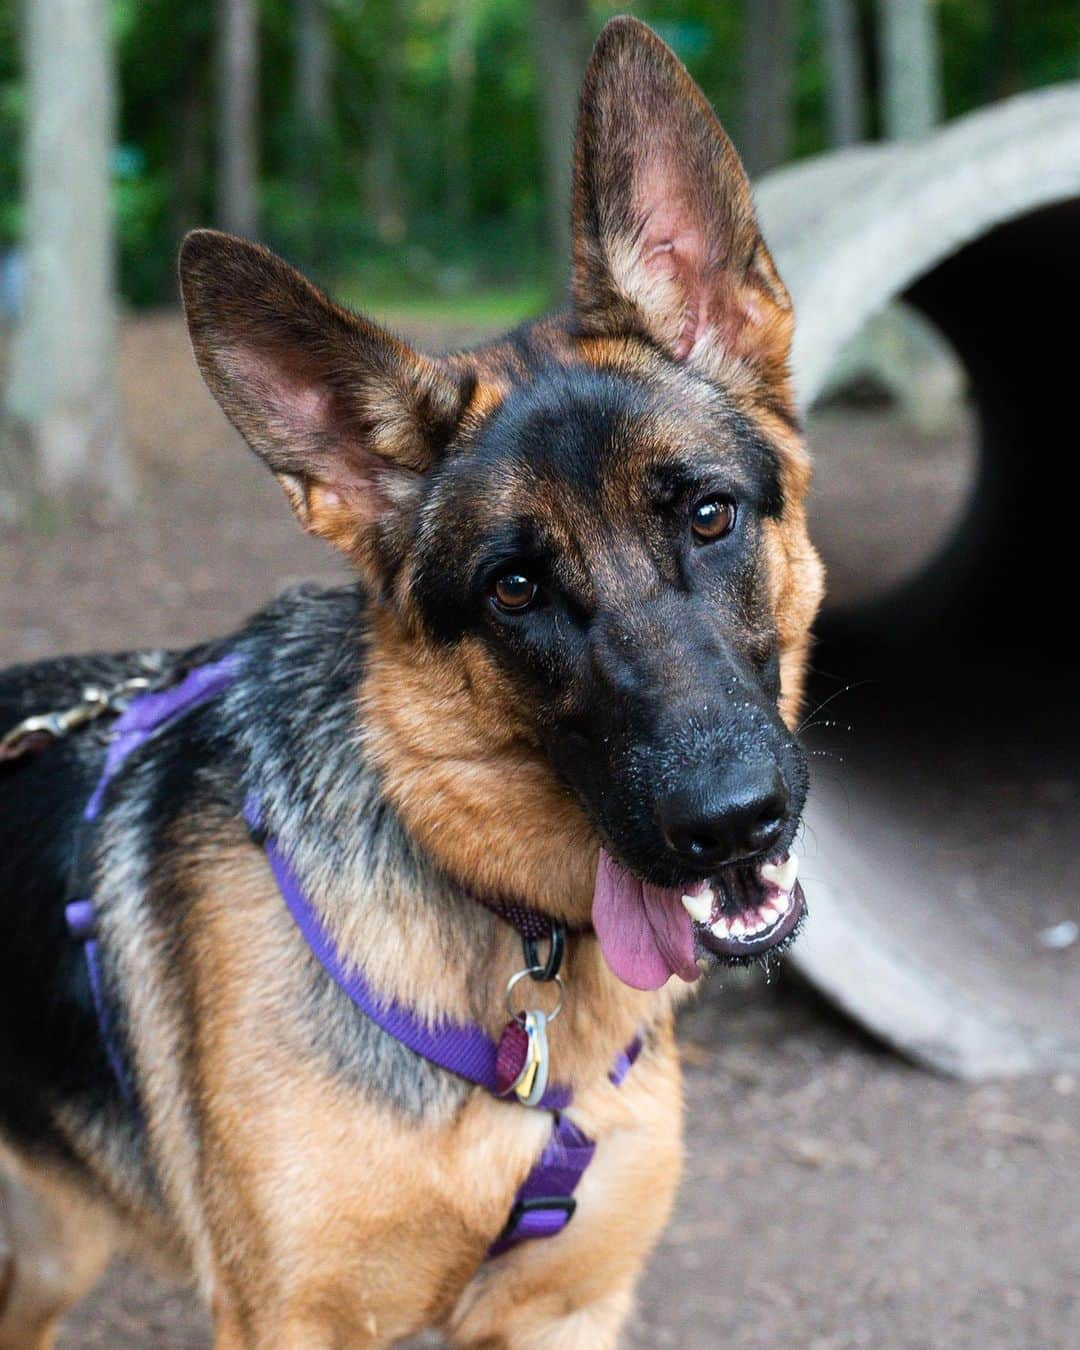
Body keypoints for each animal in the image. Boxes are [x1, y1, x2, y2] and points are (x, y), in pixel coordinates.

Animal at [0, 13, 820, 1350]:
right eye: (513, 590)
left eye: (709, 515)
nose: (728, 824)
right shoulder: (292, 1323)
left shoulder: (566, 1310)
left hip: (51, 1255)